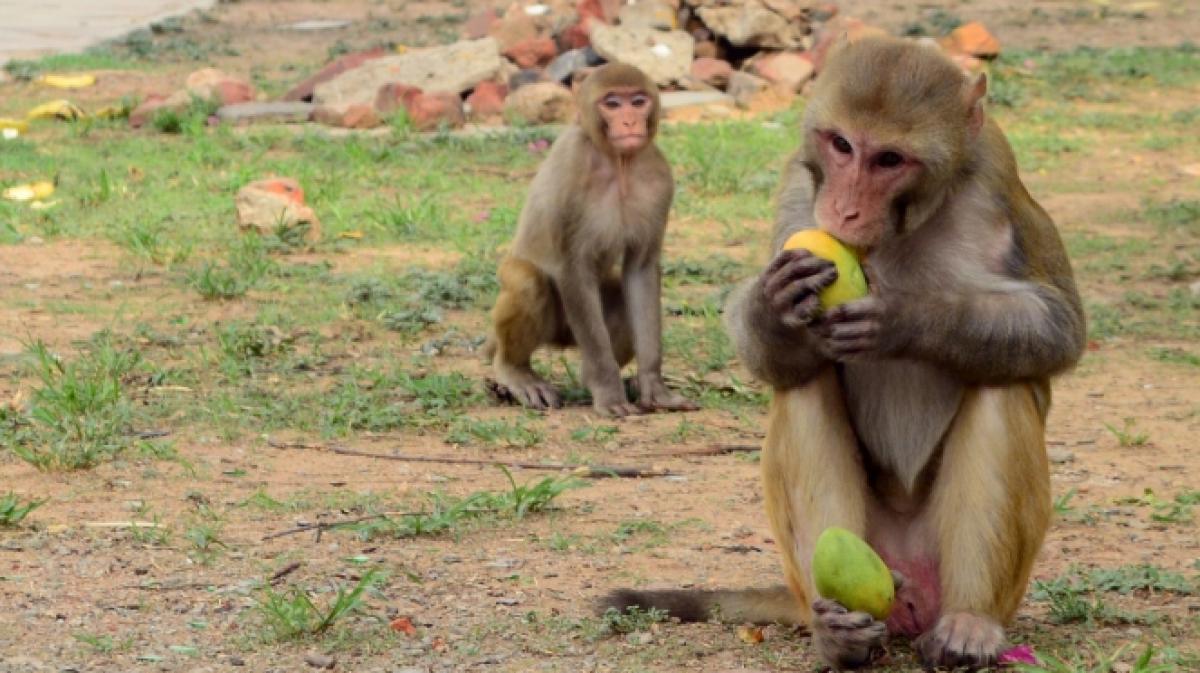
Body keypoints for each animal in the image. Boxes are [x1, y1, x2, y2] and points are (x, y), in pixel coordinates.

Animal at [483, 63, 696, 418]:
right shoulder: (572, 167)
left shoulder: (659, 177)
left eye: (637, 101)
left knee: (621, 298)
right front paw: (609, 392)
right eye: (612, 104)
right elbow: (573, 268)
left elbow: (640, 270)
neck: (617, 163)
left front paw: (653, 385)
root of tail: (562, 339)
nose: (629, 122)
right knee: (526, 279)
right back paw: (516, 373)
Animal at [602, 36, 1085, 669]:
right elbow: (779, 362)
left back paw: (969, 622)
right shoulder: (799, 186)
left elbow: (1058, 324)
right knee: (804, 385)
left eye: (889, 160)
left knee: (1001, 384)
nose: (844, 211)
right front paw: (775, 307)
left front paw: (906, 318)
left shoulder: (998, 175)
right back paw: (839, 633)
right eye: (841, 145)